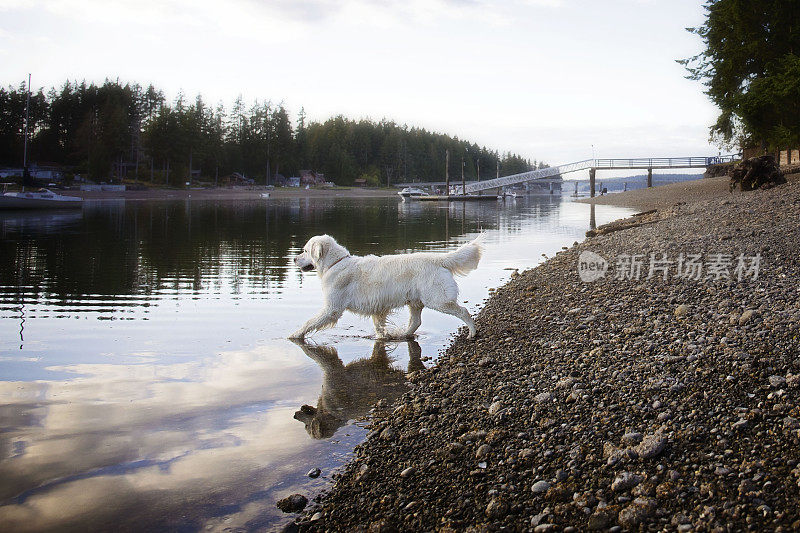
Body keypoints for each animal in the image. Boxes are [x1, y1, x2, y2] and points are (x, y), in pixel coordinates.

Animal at [292, 235, 484, 338]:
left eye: (305, 251)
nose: (293, 259)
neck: (336, 263)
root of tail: (438, 259)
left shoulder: (332, 308)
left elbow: (309, 322)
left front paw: (295, 335)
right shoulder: (377, 307)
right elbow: (379, 327)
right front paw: (383, 337)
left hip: (438, 300)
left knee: (463, 311)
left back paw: (473, 332)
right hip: (416, 301)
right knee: (416, 322)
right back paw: (403, 335)